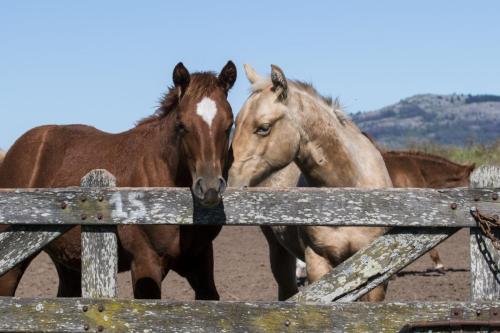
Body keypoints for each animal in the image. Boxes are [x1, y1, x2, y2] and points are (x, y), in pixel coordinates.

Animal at [0, 60, 237, 298]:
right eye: (181, 125)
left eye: (229, 125)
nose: (209, 188)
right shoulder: (145, 264)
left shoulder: (201, 264)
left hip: (69, 264)